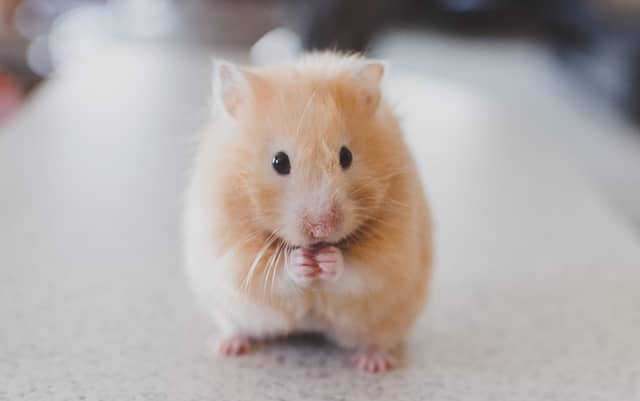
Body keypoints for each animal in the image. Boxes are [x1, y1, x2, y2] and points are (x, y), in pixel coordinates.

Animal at [183, 52, 433, 373]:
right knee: (237, 327)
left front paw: (328, 260)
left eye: (346, 156)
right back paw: (227, 346)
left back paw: (373, 364)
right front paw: (301, 262)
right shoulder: (231, 250)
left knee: (377, 340)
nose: (322, 229)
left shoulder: (392, 253)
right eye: (279, 162)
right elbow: (272, 272)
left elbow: (360, 271)